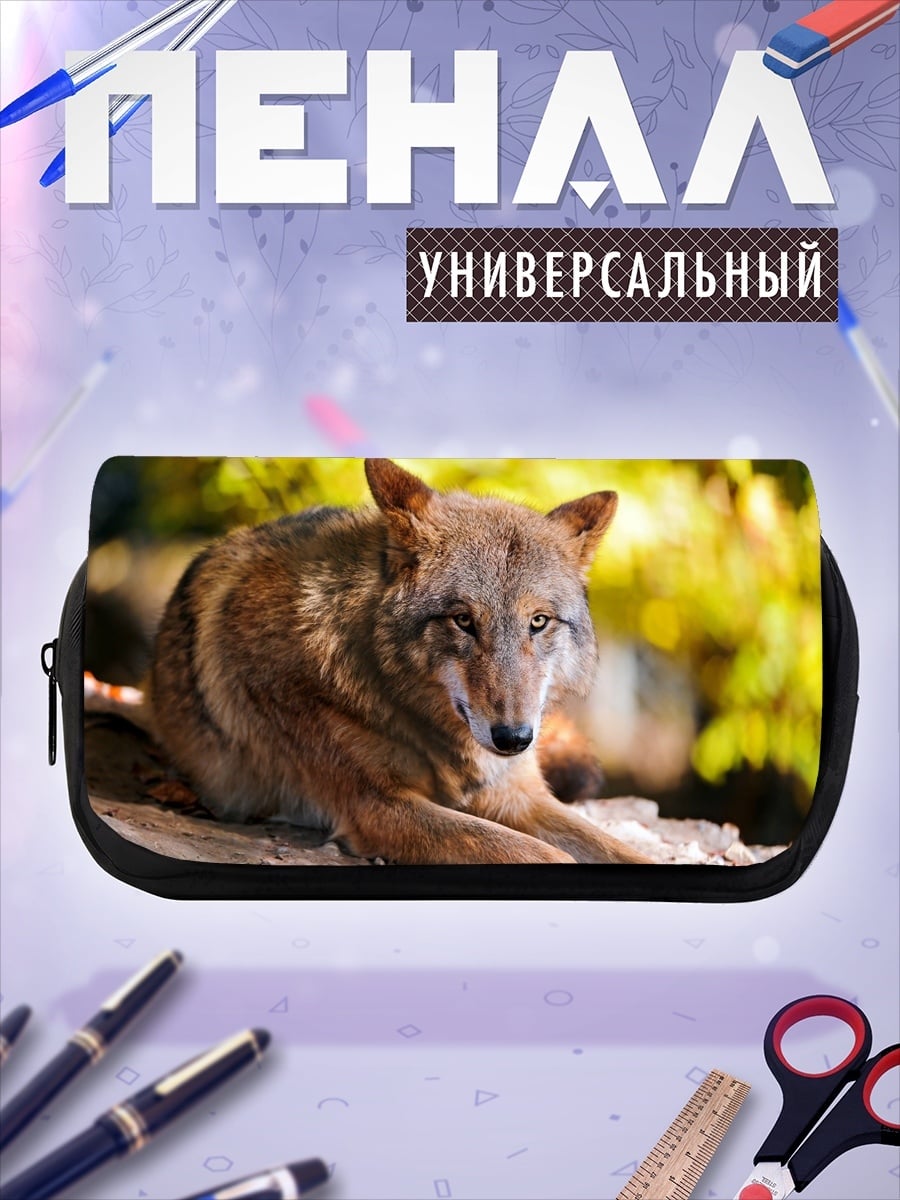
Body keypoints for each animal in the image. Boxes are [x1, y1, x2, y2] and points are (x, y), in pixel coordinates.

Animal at [147, 459, 650, 865]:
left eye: (539, 621)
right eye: (463, 620)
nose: (513, 739)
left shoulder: (515, 794)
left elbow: (626, 853)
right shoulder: (379, 807)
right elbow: (551, 856)